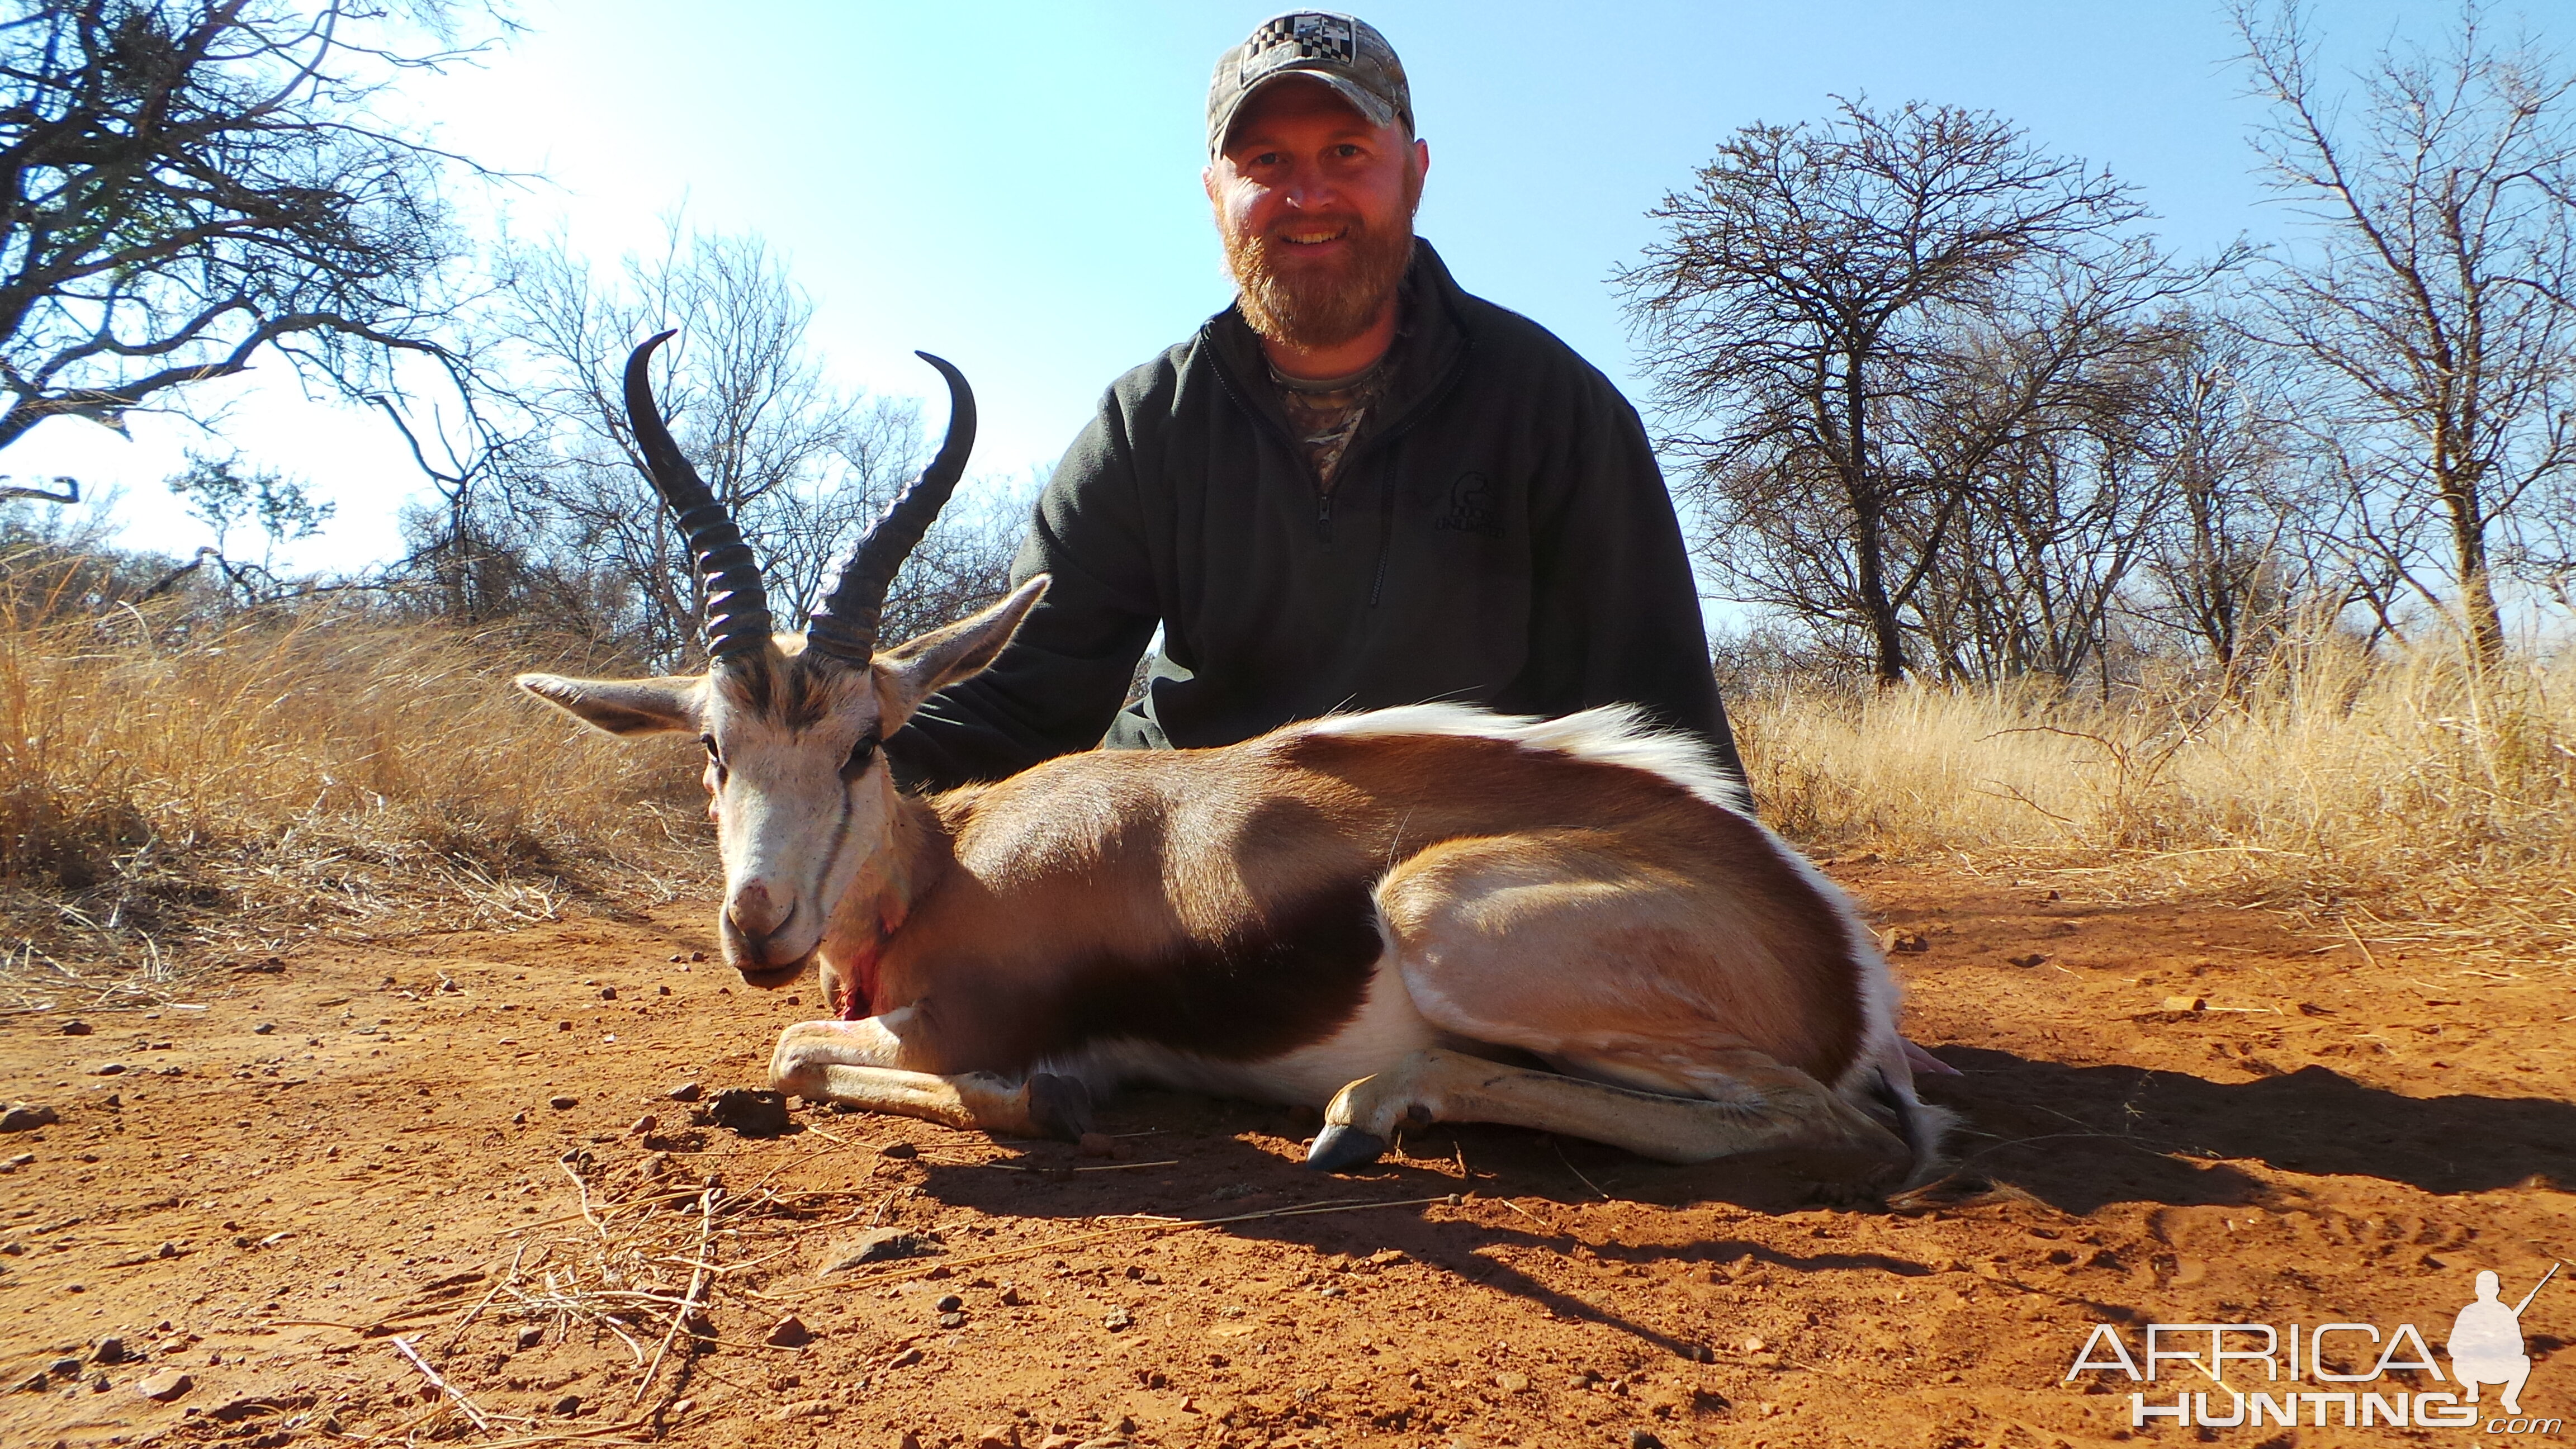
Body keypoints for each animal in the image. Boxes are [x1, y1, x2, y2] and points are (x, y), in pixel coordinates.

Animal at [523, 338, 1947, 1186]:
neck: (944, 871)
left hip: (1442, 912)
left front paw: (1051, 1100)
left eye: (866, 744)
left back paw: (1367, 1112)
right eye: (713, 749)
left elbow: (798, 1055)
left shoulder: (963, 1022)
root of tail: (1837, 957)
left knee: (1821, 1123)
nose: (757, 927)